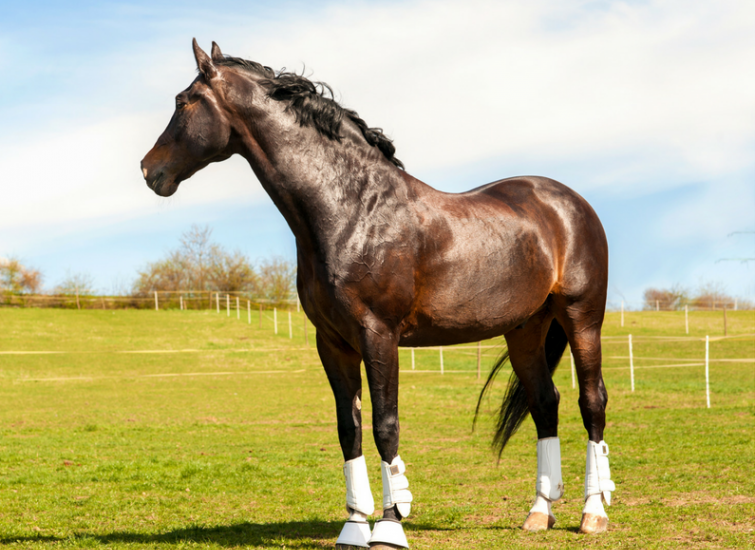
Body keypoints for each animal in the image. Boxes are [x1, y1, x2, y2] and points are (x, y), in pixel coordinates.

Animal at [141, 40, 615, 549]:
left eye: (183, 101)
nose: (149, 169)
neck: (353, 211)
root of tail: (570, 203)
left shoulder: (379, 336)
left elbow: (386, 426)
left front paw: (390, 523)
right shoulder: (333, 343)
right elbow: (348, 429)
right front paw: (353, 525)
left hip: (582, 319)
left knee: (592, 402)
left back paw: (593, 512)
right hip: (525, 330)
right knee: (545, 403)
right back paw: (539, 512)